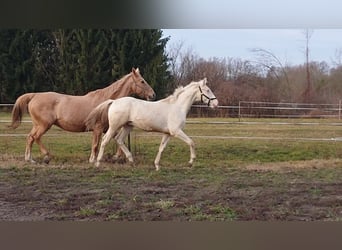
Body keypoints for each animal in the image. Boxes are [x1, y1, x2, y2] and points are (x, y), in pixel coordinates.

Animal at [9, 67, 156, 163]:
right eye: (142, 81)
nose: (153, 95)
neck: (106, 102)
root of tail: (34, 95)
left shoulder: (107, 128)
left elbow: (119, 140)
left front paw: (117, 156)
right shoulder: (98, 128)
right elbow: (96, 145)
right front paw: (93, 160)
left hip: (39, 125)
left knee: (31, 137)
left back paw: (34, 158)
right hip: (44, 125)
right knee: (33, 137)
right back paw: (40, 157)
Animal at [87, 77, 218, 170]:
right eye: (207, 90)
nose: (216, 104)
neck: (177, 107)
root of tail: (113, 101)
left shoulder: (167, 133)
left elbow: (161, 148)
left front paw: (157, 165)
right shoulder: (176, 131)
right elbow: (191, 142)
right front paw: (191, 162)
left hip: (128, 126)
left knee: (119, 140)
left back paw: (132, 161)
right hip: (114, 126)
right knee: (105, 140)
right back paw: (98, 163)